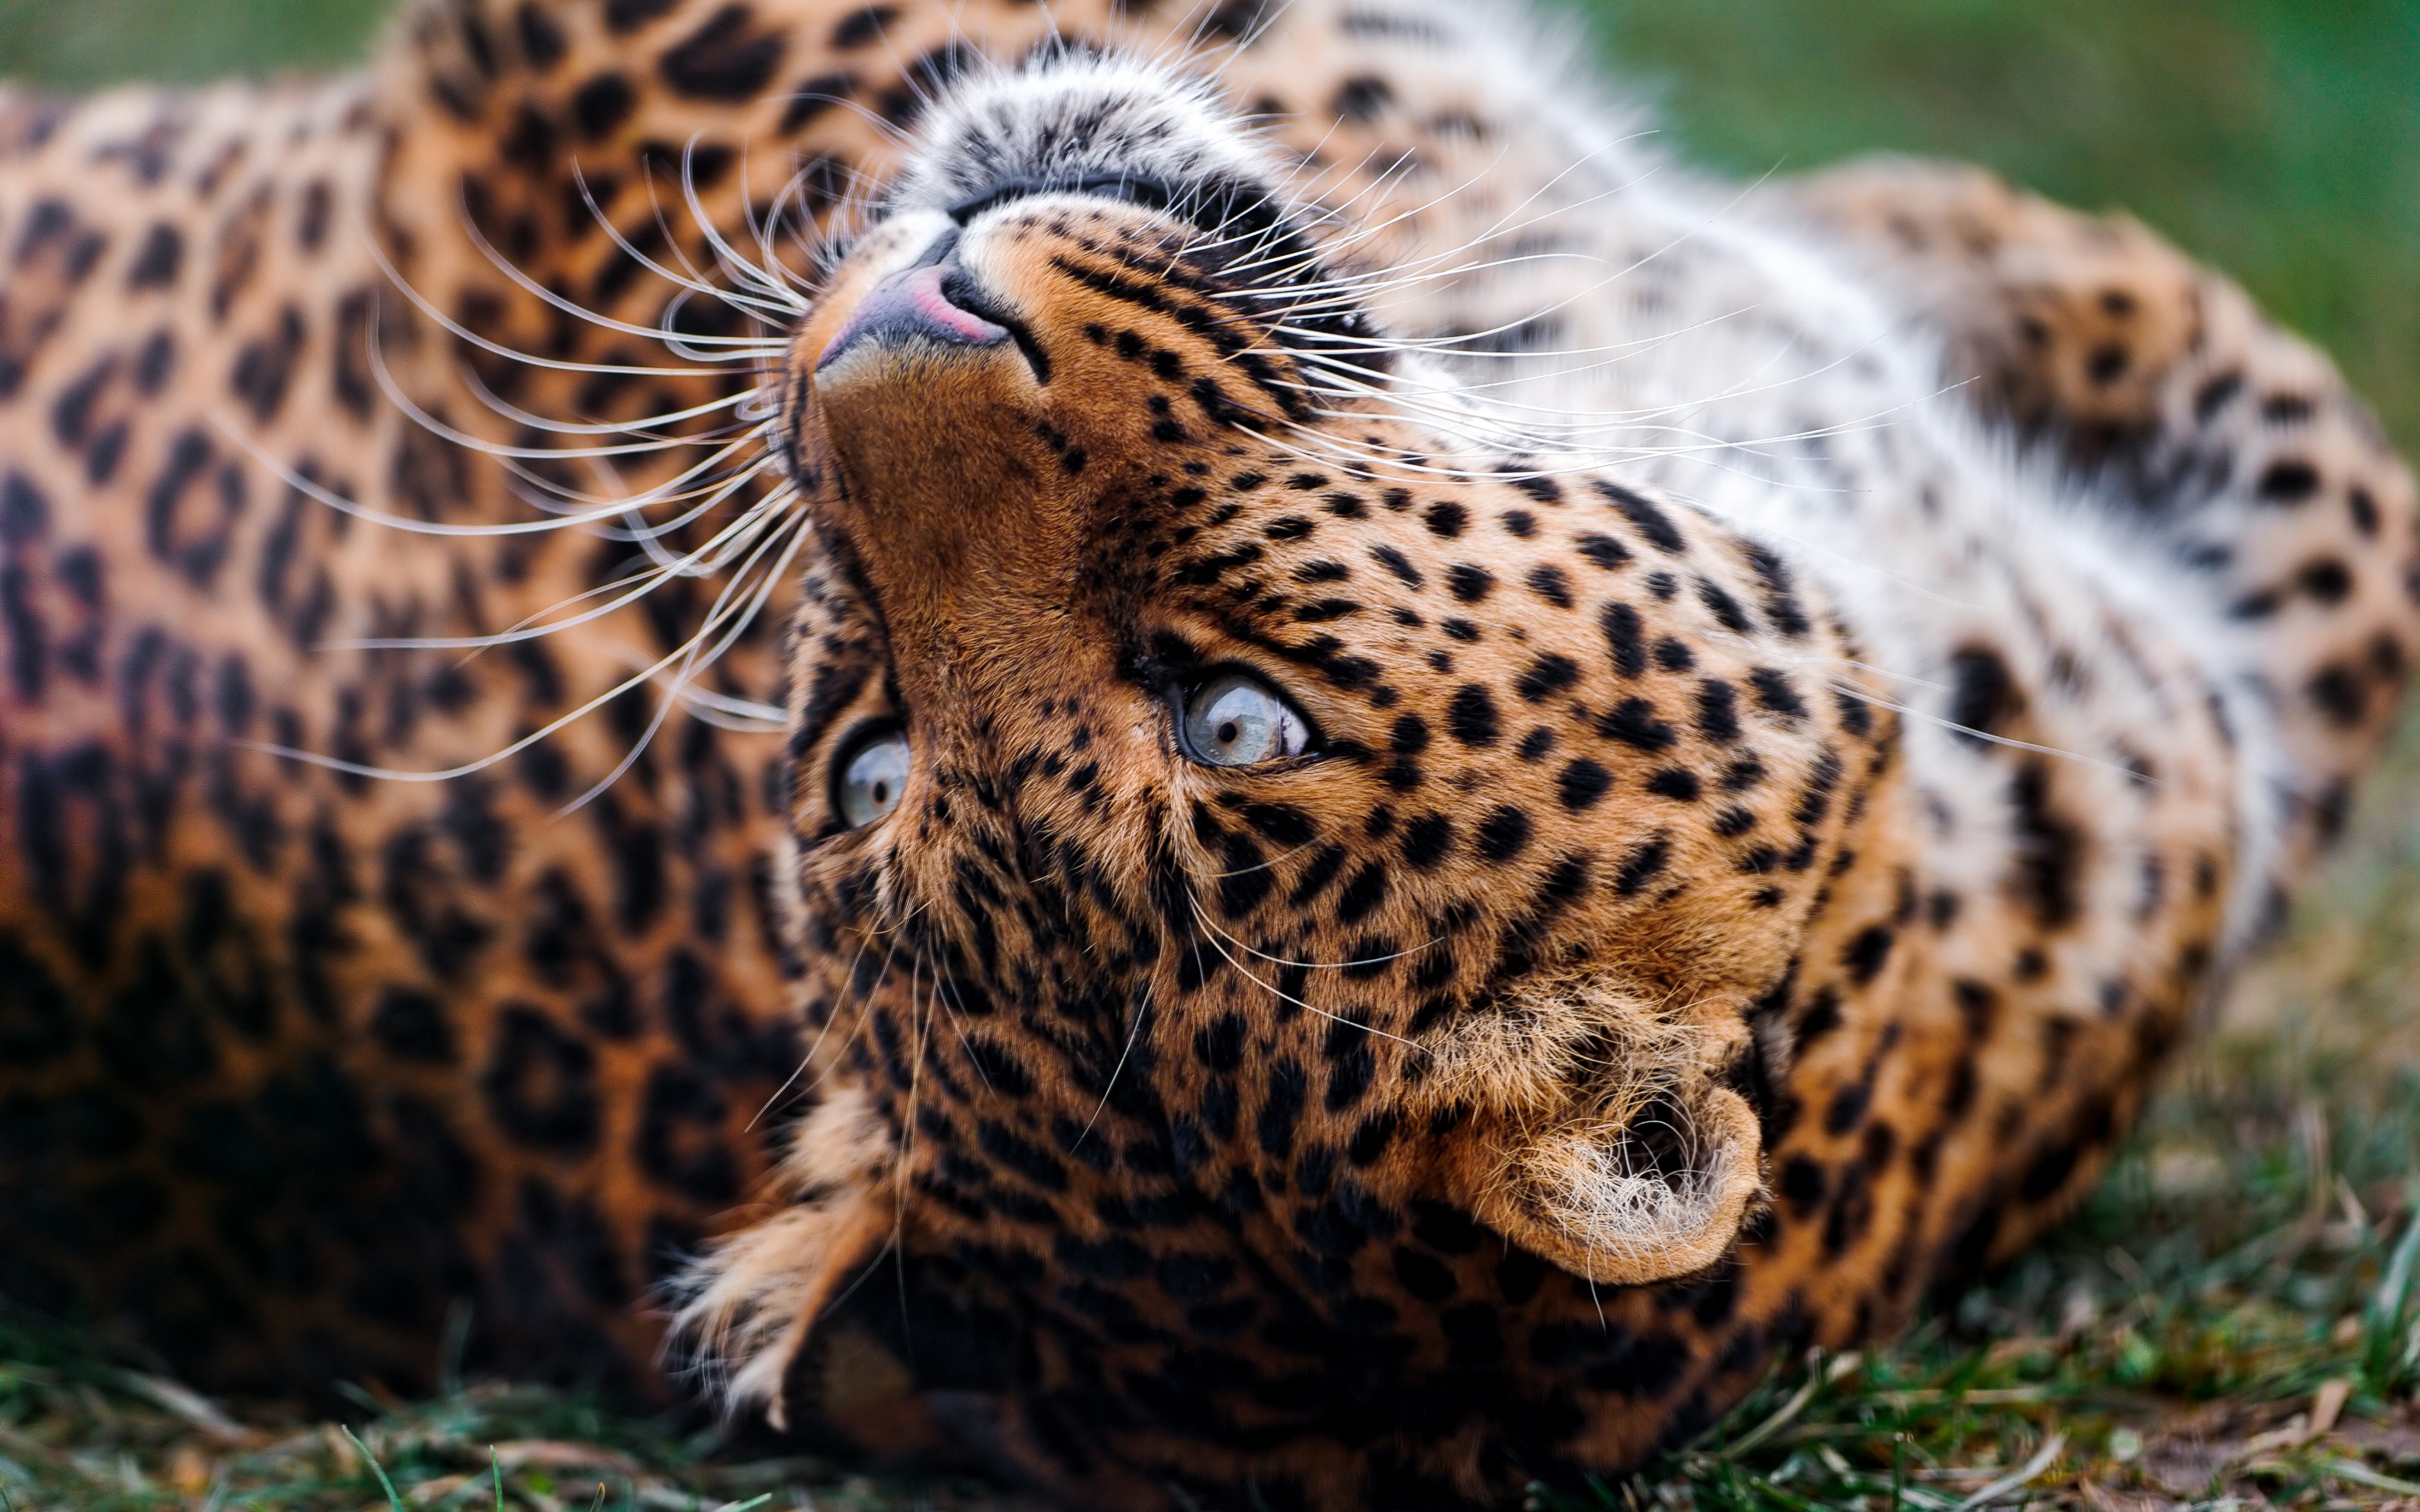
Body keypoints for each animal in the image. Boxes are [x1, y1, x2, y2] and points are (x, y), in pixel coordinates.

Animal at [0, 0, 2410, 1499]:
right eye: (868, 765)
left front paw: (1960, 256)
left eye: (1235, 714)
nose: (880, 325)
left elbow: (2340, 496)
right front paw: (1951, 248)